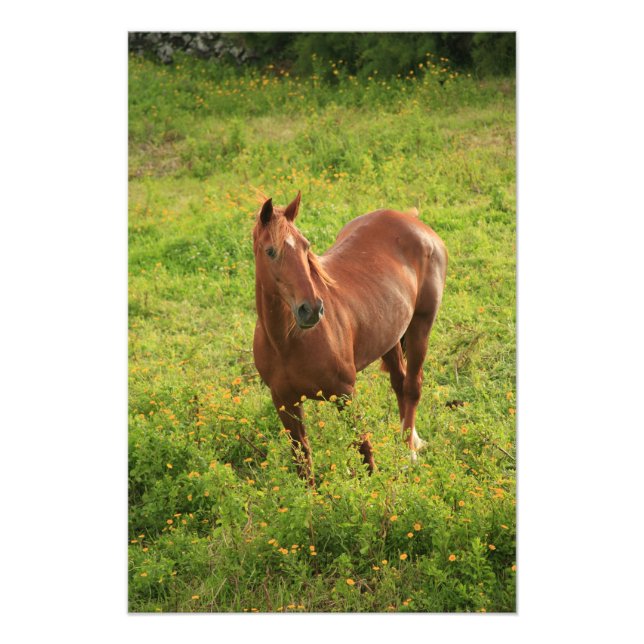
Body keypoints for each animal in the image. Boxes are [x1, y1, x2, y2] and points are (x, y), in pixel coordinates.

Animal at [252, 192, 447, 484]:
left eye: (305, 246)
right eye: (270, 251)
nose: (312, 309)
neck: (287, 342)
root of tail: (411, 220)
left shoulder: (345, 393)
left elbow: (364, 450)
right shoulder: (284, 402)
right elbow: (303, 461)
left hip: (421, 325)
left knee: (413, 386)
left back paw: (408, 452)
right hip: (389, 334)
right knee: (400, 383)